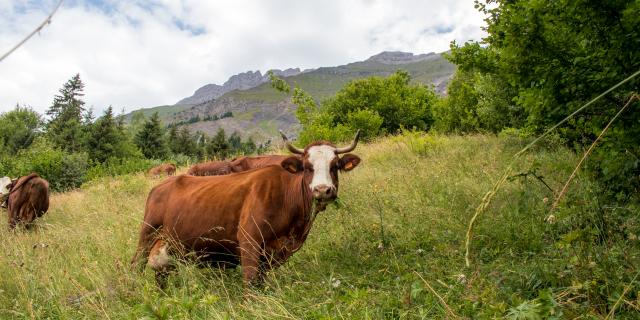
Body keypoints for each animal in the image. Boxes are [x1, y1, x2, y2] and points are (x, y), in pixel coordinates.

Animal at [131, 130, 360, 288]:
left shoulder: (273, 253)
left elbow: (260, 283)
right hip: (148, 233)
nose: (323, 190)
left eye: (335, 166)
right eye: (307, 167)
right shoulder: (249, 240)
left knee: (162, 272)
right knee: (136, 264)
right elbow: (251, 283)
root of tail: (164, 184)